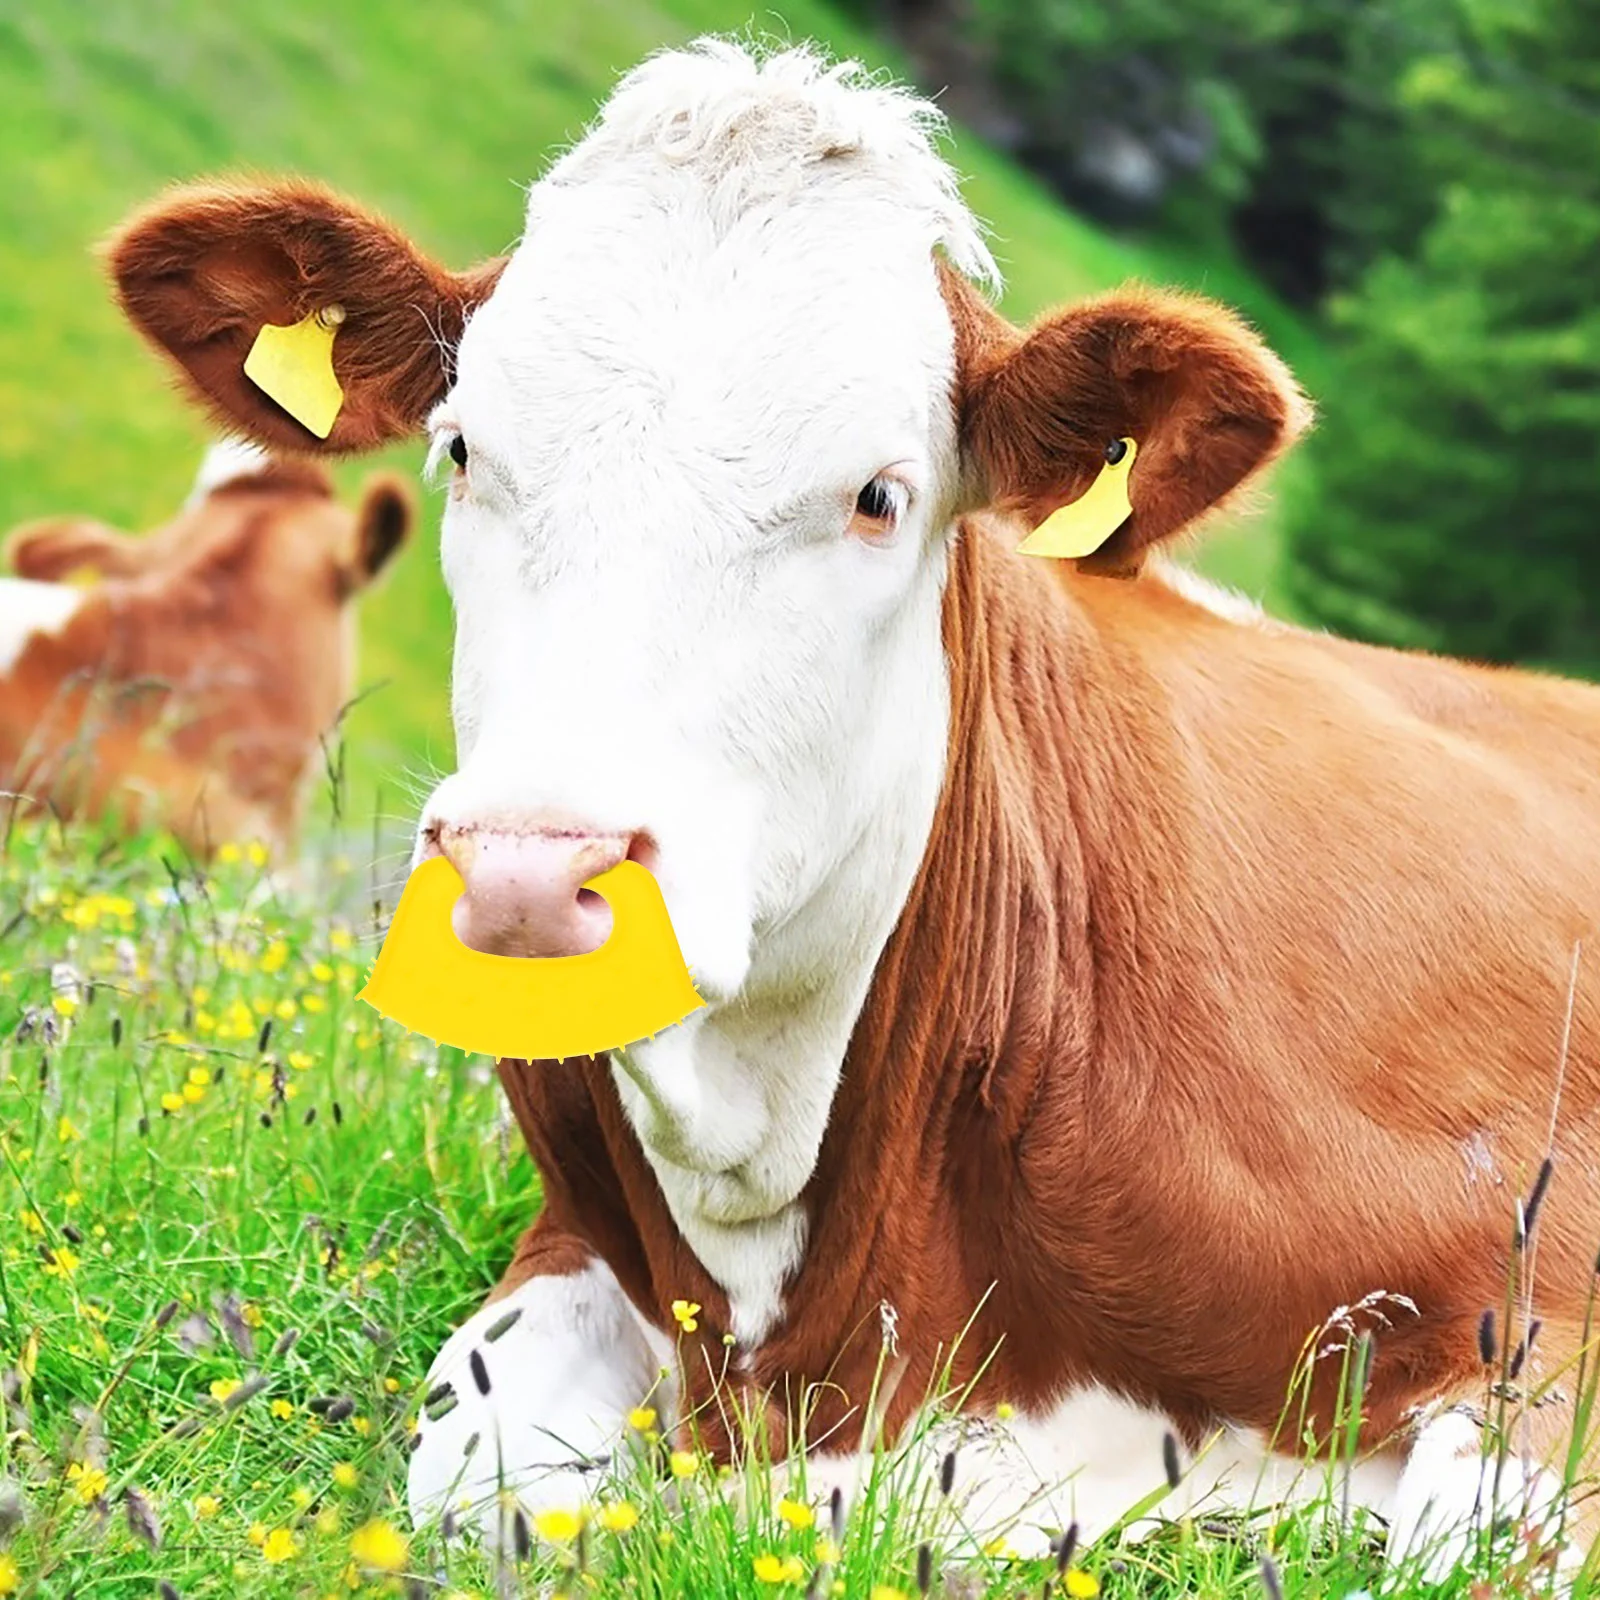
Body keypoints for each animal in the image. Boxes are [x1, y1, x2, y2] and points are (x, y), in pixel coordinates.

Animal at [106, 40, 1593, 1574]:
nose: (525, 870)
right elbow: (481, 1478)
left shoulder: (1539, 1299)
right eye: (462, 449)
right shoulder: (577, 1245)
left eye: (880, 494)